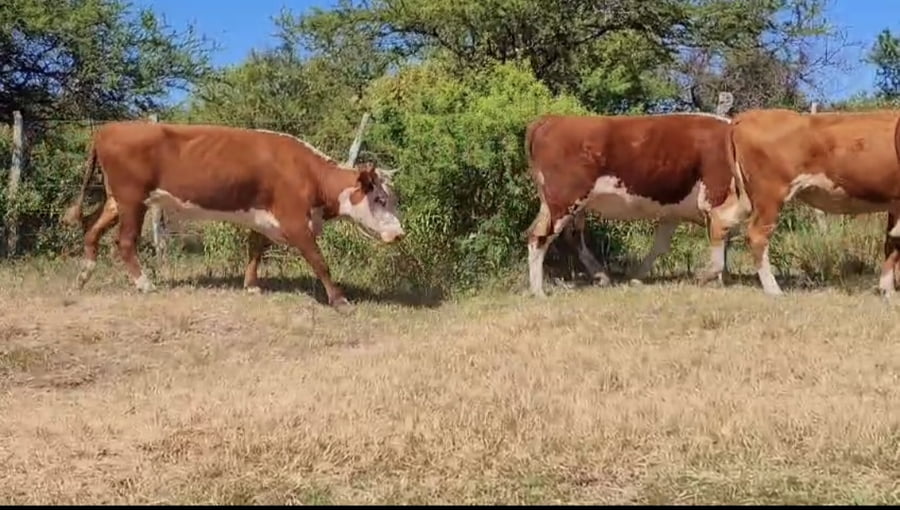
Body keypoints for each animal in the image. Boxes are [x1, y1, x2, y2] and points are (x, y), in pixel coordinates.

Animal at [61, 121, 405, 312]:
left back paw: (82, 277)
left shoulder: (263, 217)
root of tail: (107, 128)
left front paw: (251, 285)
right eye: (380, 198)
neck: (307, 173)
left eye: (393, 198)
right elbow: (320, 261)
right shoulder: (295, 222)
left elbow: (255, 249)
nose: (399, 234)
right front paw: (339, 301)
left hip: (116, 201)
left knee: (92, 232)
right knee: (125, 241)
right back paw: (144, 284)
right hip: (133, 200)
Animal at [525, 112, 750, 297]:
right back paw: (539, 291)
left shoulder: (672, 213)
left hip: (565, 207)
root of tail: (552, 119)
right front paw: (714, 279)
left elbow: (660, 245)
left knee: (570, 237)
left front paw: (635, 277)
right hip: (563, 201)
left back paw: (601, 276)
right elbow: (720, 243)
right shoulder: (716, 201)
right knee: (538, 237)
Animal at [728, 108, 900, 297]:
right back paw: (773, 290)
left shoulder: (894, 204)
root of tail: (748, 115)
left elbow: (891, 243)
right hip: (770, 195)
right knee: (757, 235)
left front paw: (887, 289)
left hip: (744, 197)